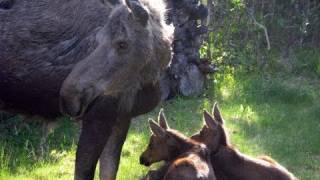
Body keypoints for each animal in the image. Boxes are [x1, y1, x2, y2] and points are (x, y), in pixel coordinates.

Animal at [0, 0, 172, 179]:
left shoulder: (123, 116)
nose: (68, 96)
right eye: (97, 39)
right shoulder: (97, 116)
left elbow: (109, 170)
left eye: (122, 43)